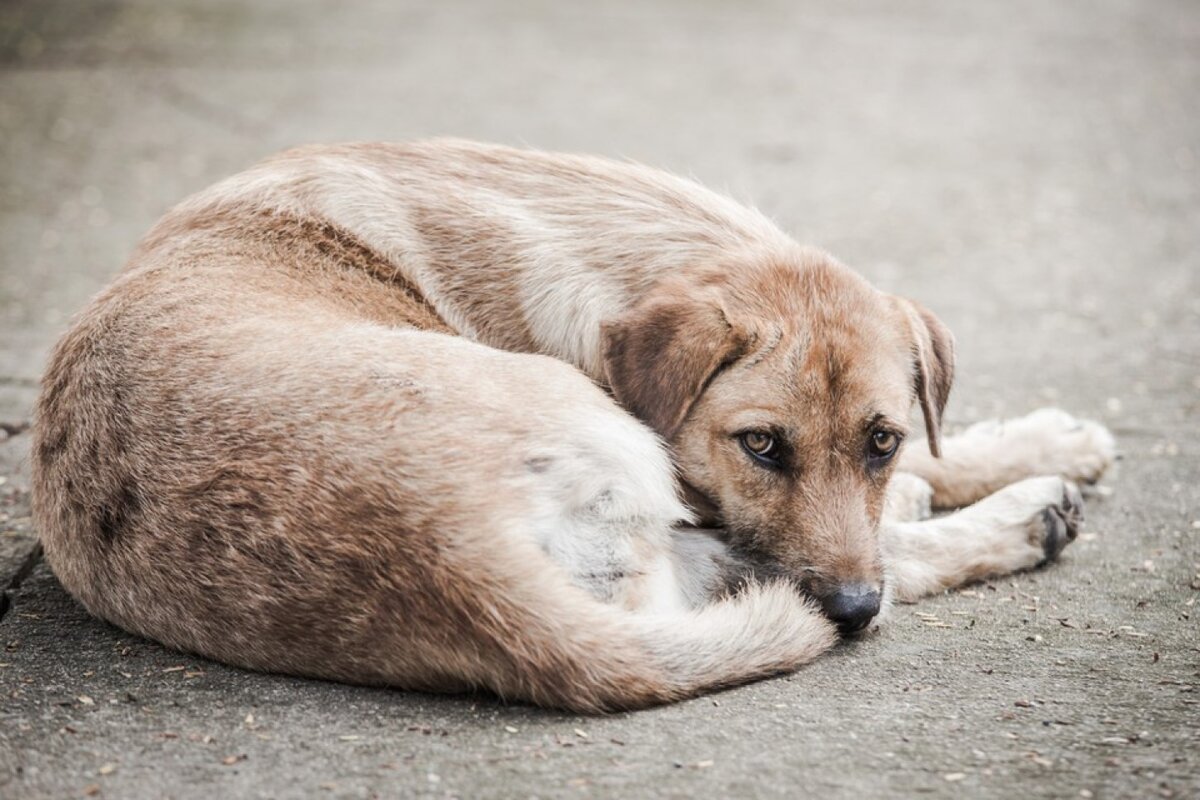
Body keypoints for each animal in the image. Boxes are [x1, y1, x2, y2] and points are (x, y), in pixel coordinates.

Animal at [32, 139, 1118, 714]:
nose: (850, 607)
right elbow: (870, 538)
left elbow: (937, 448)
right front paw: (1002, 481)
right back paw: (1018, 520)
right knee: (837, 570)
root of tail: (448, 554)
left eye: (881, 439)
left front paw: (1033, 443)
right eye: (761, 444)